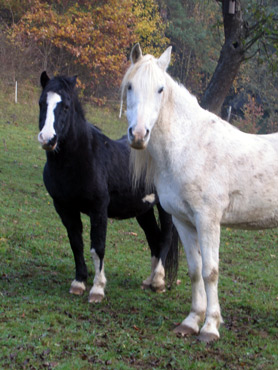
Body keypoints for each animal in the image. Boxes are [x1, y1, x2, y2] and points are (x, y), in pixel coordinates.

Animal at [37, 72, 178, 304]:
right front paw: (79, 283)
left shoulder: (98, 210)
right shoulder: (65, 209)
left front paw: (97, 289)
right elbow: (76, 243)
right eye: (42, 103)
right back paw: (148, 281)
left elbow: (98, 248)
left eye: (66, 106)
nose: (48, 139)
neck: (80, 159)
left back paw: (158, 282)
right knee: (154, 238)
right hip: (143, 210)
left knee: (165, 237)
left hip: (164, 208)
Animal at [121, 44, 278, 344]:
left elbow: (210, 272)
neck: (188, 145)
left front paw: (210, 328)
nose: (138, 134)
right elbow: (195, 271)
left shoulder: (208, 220)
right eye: (130, 86)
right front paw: (192, 321)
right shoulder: (183, 221)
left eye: (160, 89)